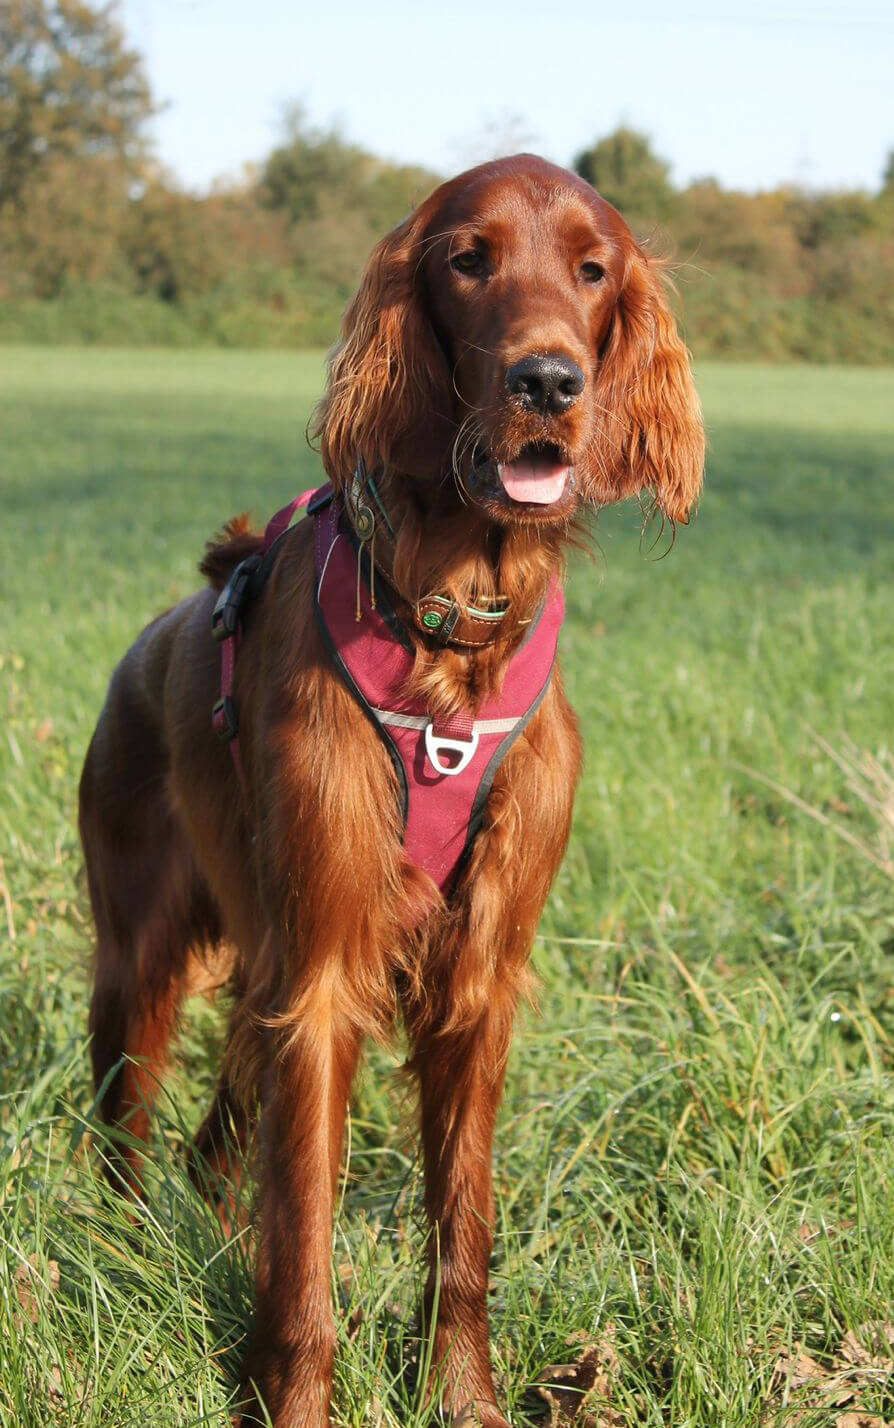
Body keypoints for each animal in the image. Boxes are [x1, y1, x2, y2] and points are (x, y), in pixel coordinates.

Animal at [79, 153, 704, 1427]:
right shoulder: (321, 977)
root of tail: (145, 645)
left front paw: (462, 1398)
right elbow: (306, 1252)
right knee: (125, 1125)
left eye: (592, 269)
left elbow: (462, 1226)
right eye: (467, 259)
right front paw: (295, 1401)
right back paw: (118, 1249)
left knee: (216, 1145)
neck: (452, 623)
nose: (548, 379)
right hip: (143, 956)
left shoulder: (477, 979)